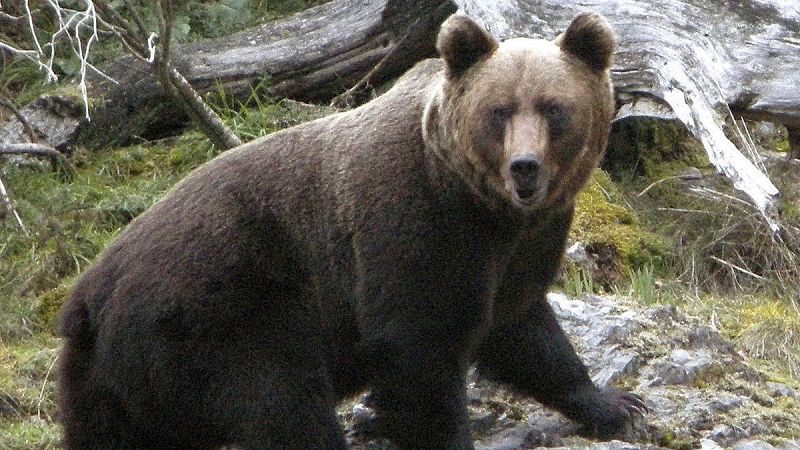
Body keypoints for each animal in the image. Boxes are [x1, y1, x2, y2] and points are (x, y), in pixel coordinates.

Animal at [57, 12, 645, 450]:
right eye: (499, 110)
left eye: (554, 108)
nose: (524, 167)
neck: (482, 207)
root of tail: (88, 294)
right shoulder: (414, 228)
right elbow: (418, 350)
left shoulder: (519, 248)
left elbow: (522, 327)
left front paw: (613, 402)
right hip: (224, 311)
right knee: (283, 401)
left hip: (106, 380)